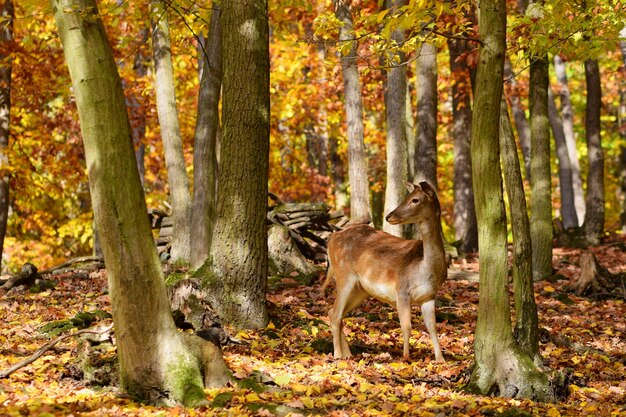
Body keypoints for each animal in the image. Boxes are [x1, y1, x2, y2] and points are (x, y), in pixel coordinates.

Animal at [322, 180, 444, 360]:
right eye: (407, 196)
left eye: (415, 199)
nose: (389, 216)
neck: (425, 268)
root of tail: (331, 239)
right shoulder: (402, 289)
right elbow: (406, 326)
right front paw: (406, 358)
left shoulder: (429, 295)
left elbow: (432, 327)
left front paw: (441, 359)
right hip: (344, 275)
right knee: (336, 313)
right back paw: (338, 356)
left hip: (360, 289)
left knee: (334, 313)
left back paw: (348, 354)